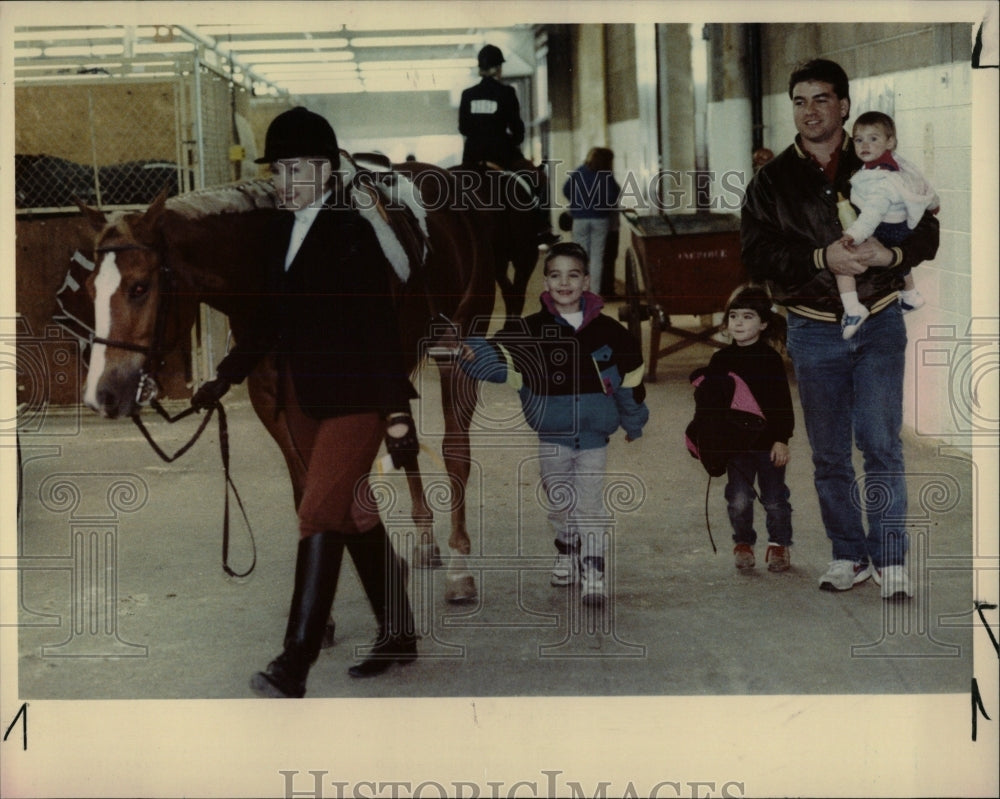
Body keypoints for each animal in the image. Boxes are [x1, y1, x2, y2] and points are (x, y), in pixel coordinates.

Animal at [79, 164, 496, 600]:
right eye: (90, 288)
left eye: (139, 287)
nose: (102, 393)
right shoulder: (274, 405)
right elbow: (308, 491)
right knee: (406, 444)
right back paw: (426, 543)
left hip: (457, 354)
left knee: (455, 453)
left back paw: (460, 571)